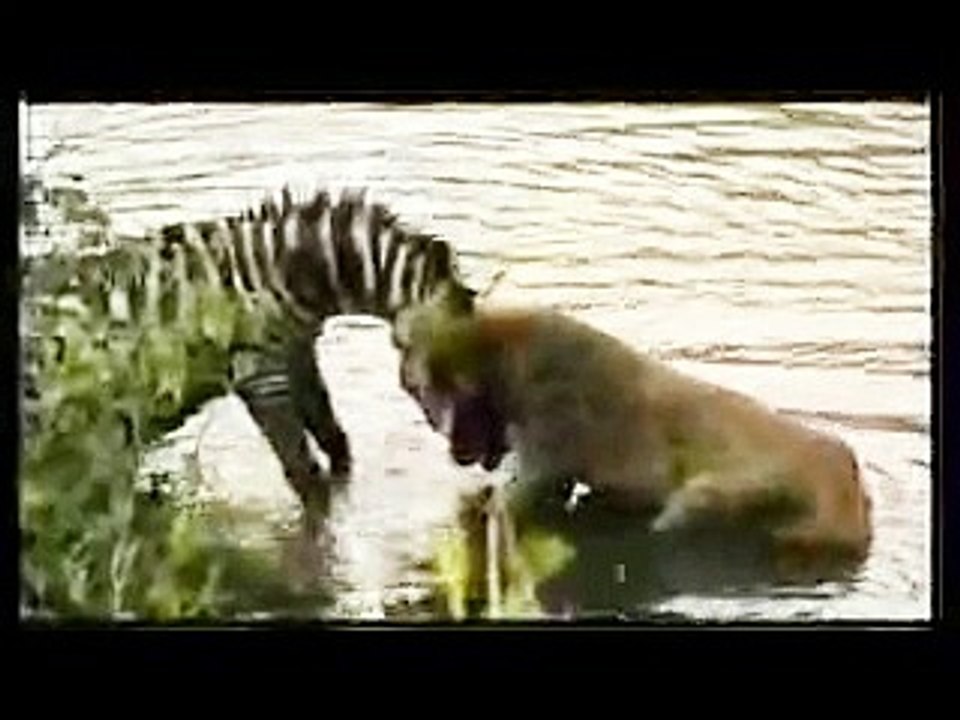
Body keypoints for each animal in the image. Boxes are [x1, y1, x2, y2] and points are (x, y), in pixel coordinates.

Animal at [22, 186, 477, 521]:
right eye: (442, 373)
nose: (475, 454)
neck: (289, 272)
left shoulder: (297, 356)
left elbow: (334, 441)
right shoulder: (262, 378)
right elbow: (305, 476)